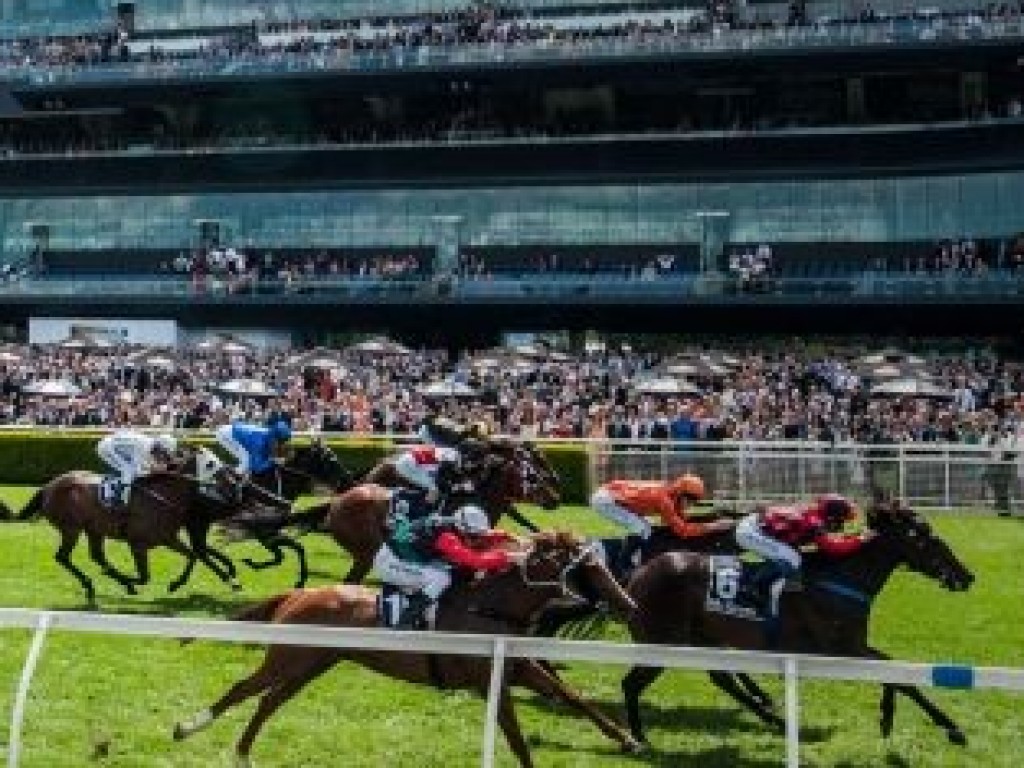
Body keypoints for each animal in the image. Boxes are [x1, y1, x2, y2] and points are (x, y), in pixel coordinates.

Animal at [174, 536, 638, 768]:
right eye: (589, 566)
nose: (628, 603)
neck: (490, 607)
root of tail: (300, 593)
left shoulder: (518, 667)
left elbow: (574, 698)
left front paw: (628, 739)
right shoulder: (489, 679)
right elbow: (515, 735)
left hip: (313, 664)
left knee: (269, 701)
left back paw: (242, 751)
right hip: (290, 658)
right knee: (244, 689)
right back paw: (188, 727)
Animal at [618, 501, 970, 749]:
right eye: (929, 538)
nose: (967, 576)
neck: (842, 578)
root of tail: (637, 574)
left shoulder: (853, 645)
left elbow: (894, 673)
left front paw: (889, 717)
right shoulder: (842, 648)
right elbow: (899, 676)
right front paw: (951, 728)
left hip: (704, 638)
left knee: (724, 679)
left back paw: (776, 720)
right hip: (662, 642)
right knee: (631, 684)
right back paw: (639, 738)